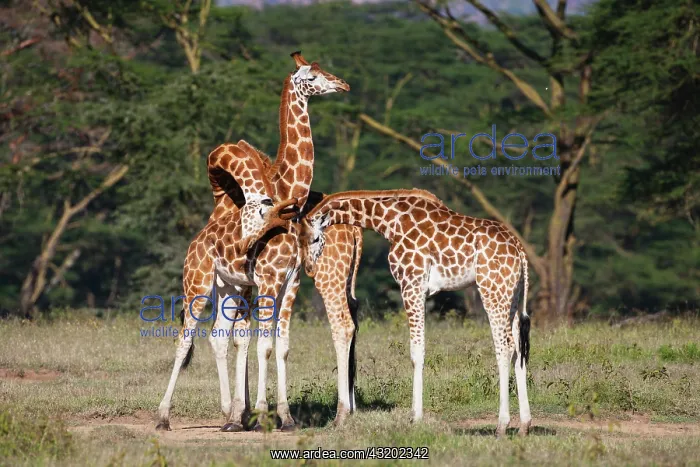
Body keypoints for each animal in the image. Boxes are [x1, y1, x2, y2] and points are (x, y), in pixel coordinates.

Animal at [300, 189, 532, 437]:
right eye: (299, 240)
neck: (389, 221)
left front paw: (416, 418)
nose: (309, 269)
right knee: (519, 348)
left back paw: (502, 425)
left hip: (492, 290)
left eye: (315, 239)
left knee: (505, 346)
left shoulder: (412, 284)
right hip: (512, 296)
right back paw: (524, 425)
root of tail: (519, 249)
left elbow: (416, 352)